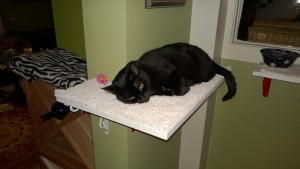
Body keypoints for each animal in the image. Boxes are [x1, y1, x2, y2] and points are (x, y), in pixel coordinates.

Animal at [103, 42, 237, 103]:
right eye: (130, 97)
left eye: (140, 85)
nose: (142, 98)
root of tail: (208, 58)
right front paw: (167, 91)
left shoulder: (172, 69)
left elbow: (178, 91)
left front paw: (183, 89)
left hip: (201, 68)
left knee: (211, 73)